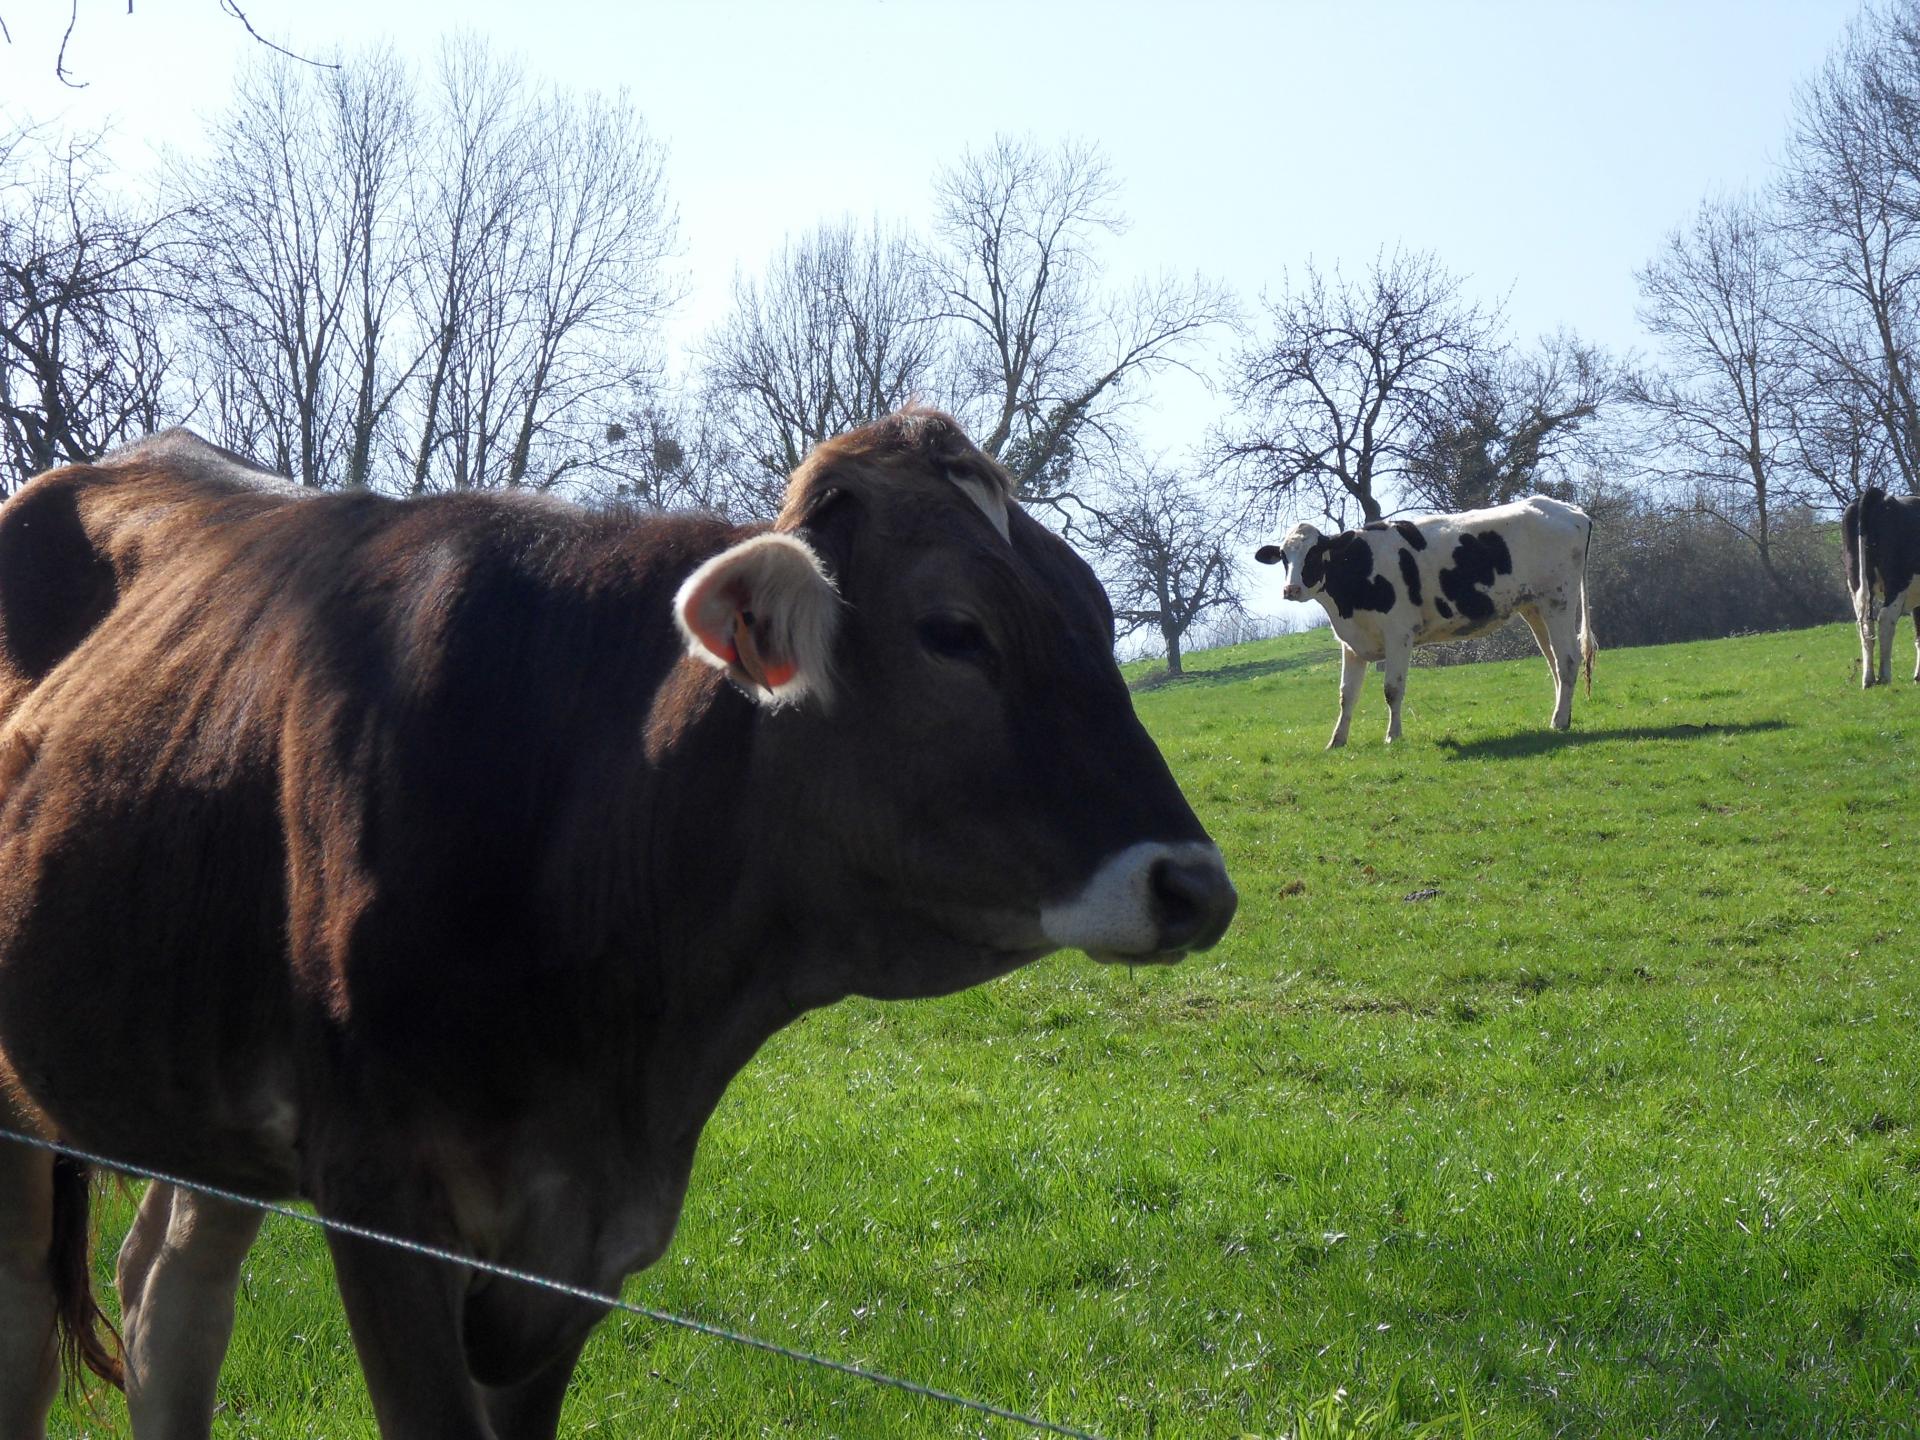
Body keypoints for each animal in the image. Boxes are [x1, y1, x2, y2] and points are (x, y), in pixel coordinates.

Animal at [1843, 487, 1920, 691]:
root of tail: (1876, 496)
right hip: (1897, 580)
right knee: (1886, 619)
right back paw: (1884, 676)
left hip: (1855, 579)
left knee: (1865, 625)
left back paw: (1868, 679)